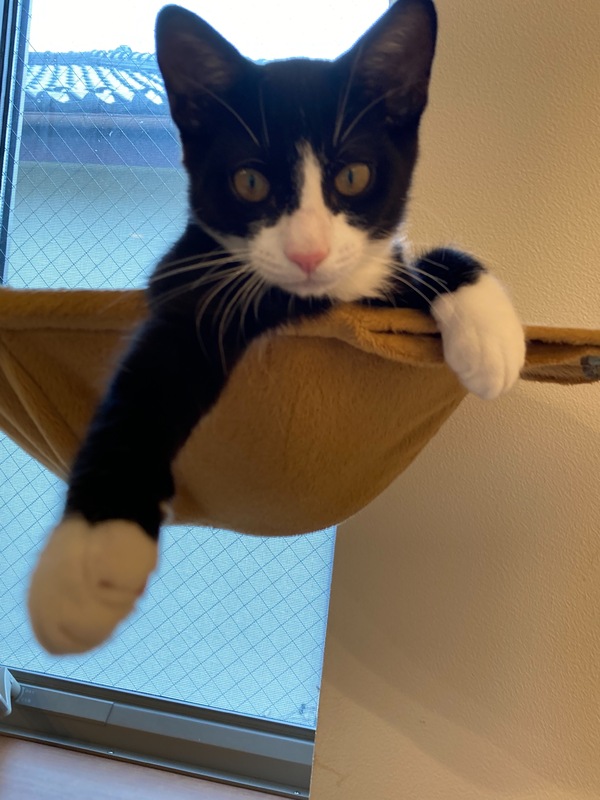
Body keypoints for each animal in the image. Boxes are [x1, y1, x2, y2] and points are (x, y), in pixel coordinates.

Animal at [28, 0, 525, 654]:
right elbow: (149, 384)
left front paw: (491, 336)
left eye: (353, 176)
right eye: (250, 182)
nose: (308, 252)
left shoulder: (372, 280)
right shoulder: (187, 284)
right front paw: (87, 557)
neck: (308, 303)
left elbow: (417, 265)